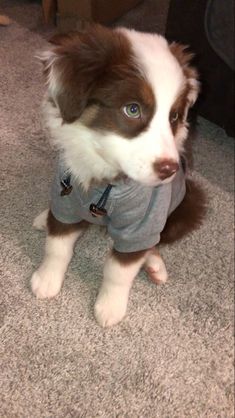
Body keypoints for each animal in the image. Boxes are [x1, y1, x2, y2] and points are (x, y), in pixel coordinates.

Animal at [31, 25, 206, 326]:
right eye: (132, 109)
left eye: (173, 117)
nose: (170, 169)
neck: (106, 183)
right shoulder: (66, 198)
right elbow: (57, 246)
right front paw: (47, 280)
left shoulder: (141, 223)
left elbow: (119, 270)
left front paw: (110, 307)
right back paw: (45, 217)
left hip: (185, 206)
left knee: (154, 243)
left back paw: (155, 264)